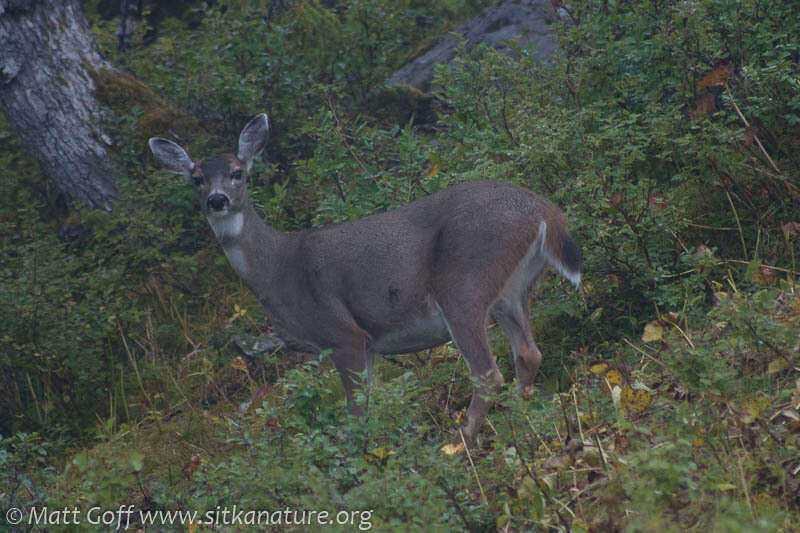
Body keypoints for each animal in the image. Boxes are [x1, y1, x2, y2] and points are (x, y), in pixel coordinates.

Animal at [148, 113, 580, 444]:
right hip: (513, 289)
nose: (216, 200)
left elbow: (355, 410)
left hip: (464, 283)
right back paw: (516, 417)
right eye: (196, 178)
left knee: (488, 374)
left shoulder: (342, 333)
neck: (277, 270)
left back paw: (461, 442)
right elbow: (372, 402)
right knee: (528, 353)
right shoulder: (369, 342)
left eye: (238, 173)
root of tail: (544, 211)